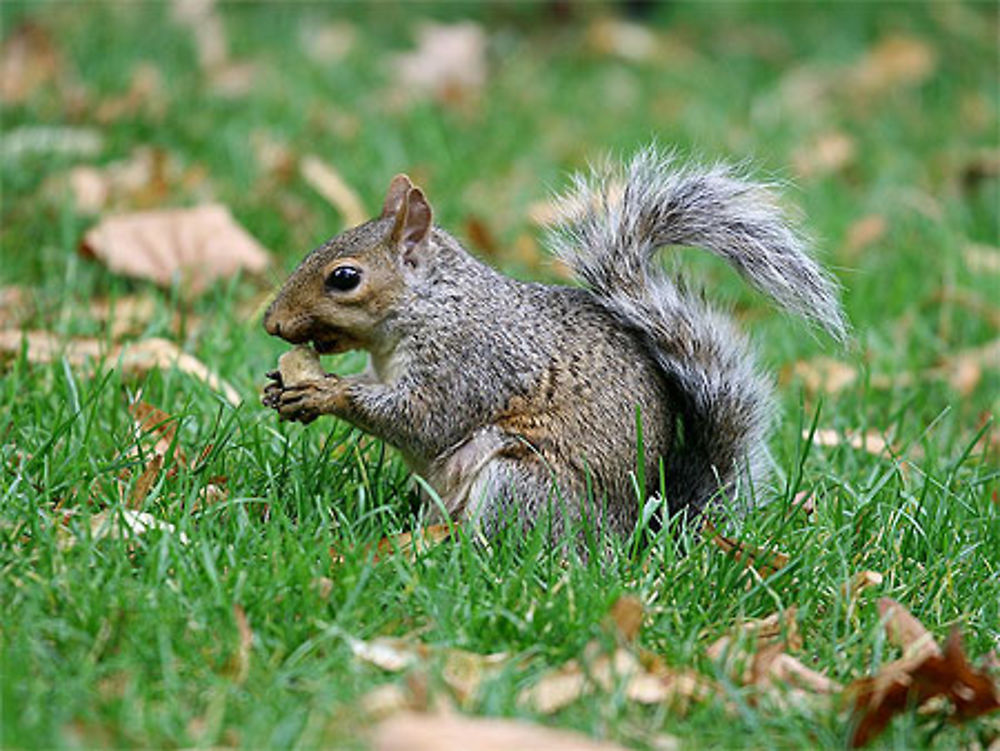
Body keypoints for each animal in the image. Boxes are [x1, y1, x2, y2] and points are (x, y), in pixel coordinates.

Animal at [262, 147, 848, 536]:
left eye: (345, 278)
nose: (272, 322)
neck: (432, 307)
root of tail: (630, 535)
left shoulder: (470, 363)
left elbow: (422, 418)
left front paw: (324, 392)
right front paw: (279, 387)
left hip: (517, 482)